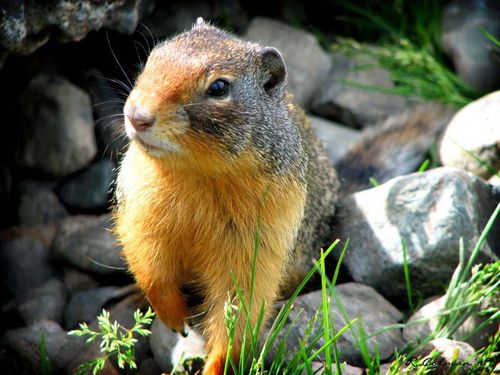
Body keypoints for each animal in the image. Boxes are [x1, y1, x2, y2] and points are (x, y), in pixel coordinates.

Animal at [115, 19, 338, 374]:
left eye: (219, 87)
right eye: (152, 58)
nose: (137, 116)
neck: (198, 174)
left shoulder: (256, 246)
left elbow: (237, 312)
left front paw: (215, 365)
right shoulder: (139, 212)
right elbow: (150, 268)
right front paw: (175, 318)